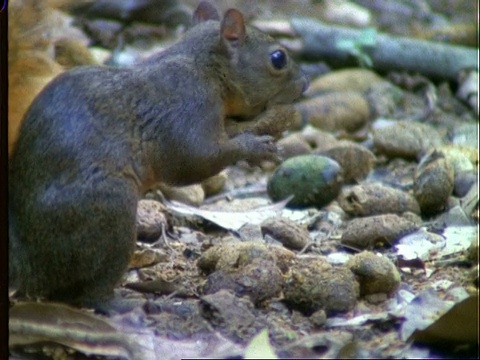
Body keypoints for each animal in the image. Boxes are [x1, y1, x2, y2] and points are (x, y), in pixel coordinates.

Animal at [9, 0, 308, 310]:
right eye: (278, 58)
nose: (306, 82)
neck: (205, 68)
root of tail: (27, 263)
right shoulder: (188, 105)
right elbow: (194, 159)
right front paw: (255, 146)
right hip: (109, 214)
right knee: (86, 293)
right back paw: (123, 303)